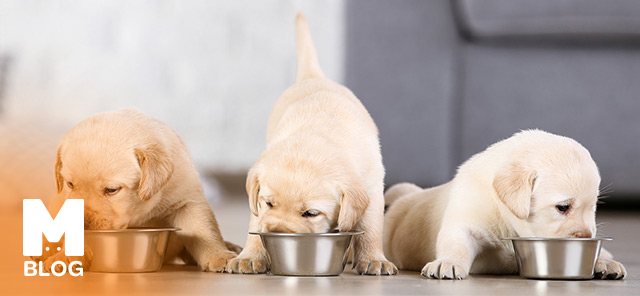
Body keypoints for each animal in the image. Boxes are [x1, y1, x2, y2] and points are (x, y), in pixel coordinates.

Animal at [41, 109, 240, 272]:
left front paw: (219, 255)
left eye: (112, 190)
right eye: (70, 184)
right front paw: (66, 258)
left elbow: (204, 229)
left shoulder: (186, 200)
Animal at [224, 12, 396, 276]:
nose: (278, 232)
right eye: (269, 203)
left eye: (311, 213)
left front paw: (373, 259)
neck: (316, 138)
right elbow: (256, 221)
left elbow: (371, 227)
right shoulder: (259, 202)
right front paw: (251, 255)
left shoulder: (373, 187)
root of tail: (314, 77)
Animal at [384, 130, 624, 280]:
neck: (509, 222)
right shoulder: (465, 219)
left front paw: (602, 260)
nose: (586, 236)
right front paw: (448, 261)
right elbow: (456, 243)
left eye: (593, 207)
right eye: (563, 207)